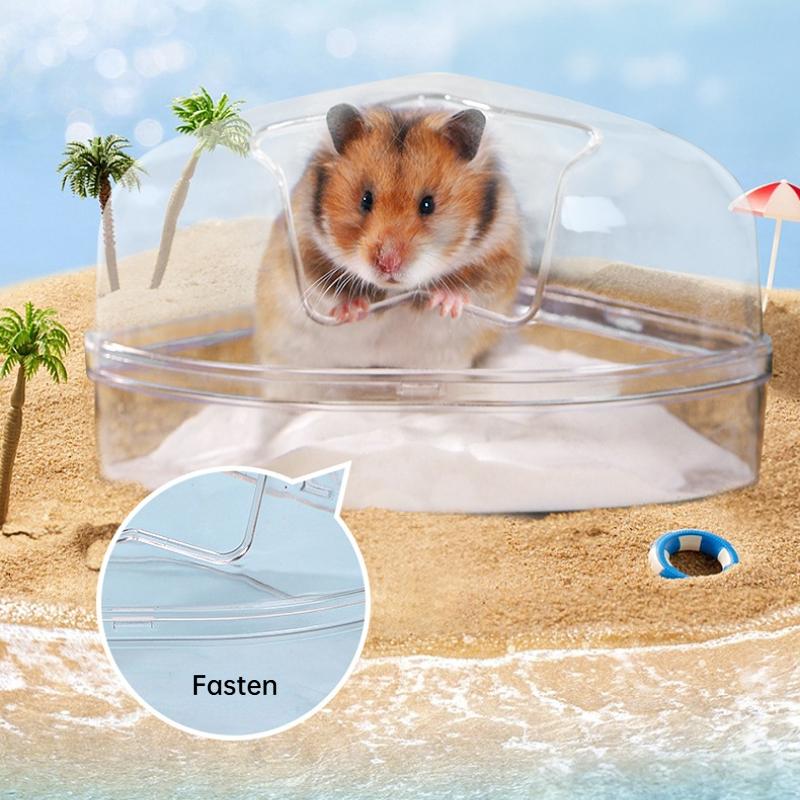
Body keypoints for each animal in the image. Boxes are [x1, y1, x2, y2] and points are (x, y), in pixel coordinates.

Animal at [255, 103, 527, 369]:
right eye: (365, 200)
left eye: (428, 204)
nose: (388, 264)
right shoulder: (305, 250)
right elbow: (327, 289)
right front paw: (352, 310)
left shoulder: (500, 258)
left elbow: (474, 286)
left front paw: (447, 303)